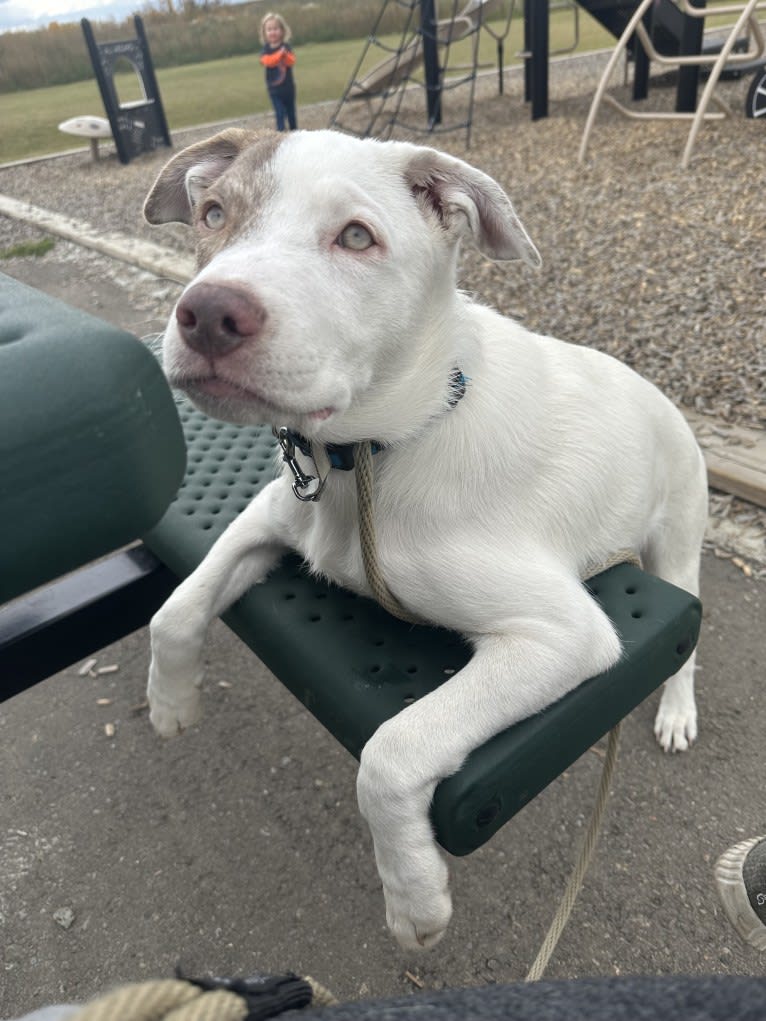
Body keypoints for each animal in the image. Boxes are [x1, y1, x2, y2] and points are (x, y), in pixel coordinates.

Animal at [142, 127, 706, 947]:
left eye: (356, 237)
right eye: (214, 214)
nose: (208, 313)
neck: (372, 456)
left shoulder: (563, 634)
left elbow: (392, 748)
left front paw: (413, 899)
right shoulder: (270, 515)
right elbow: (176, 609)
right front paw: (172, 704)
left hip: (680, 540)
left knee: (690, 644)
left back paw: (675, 713)